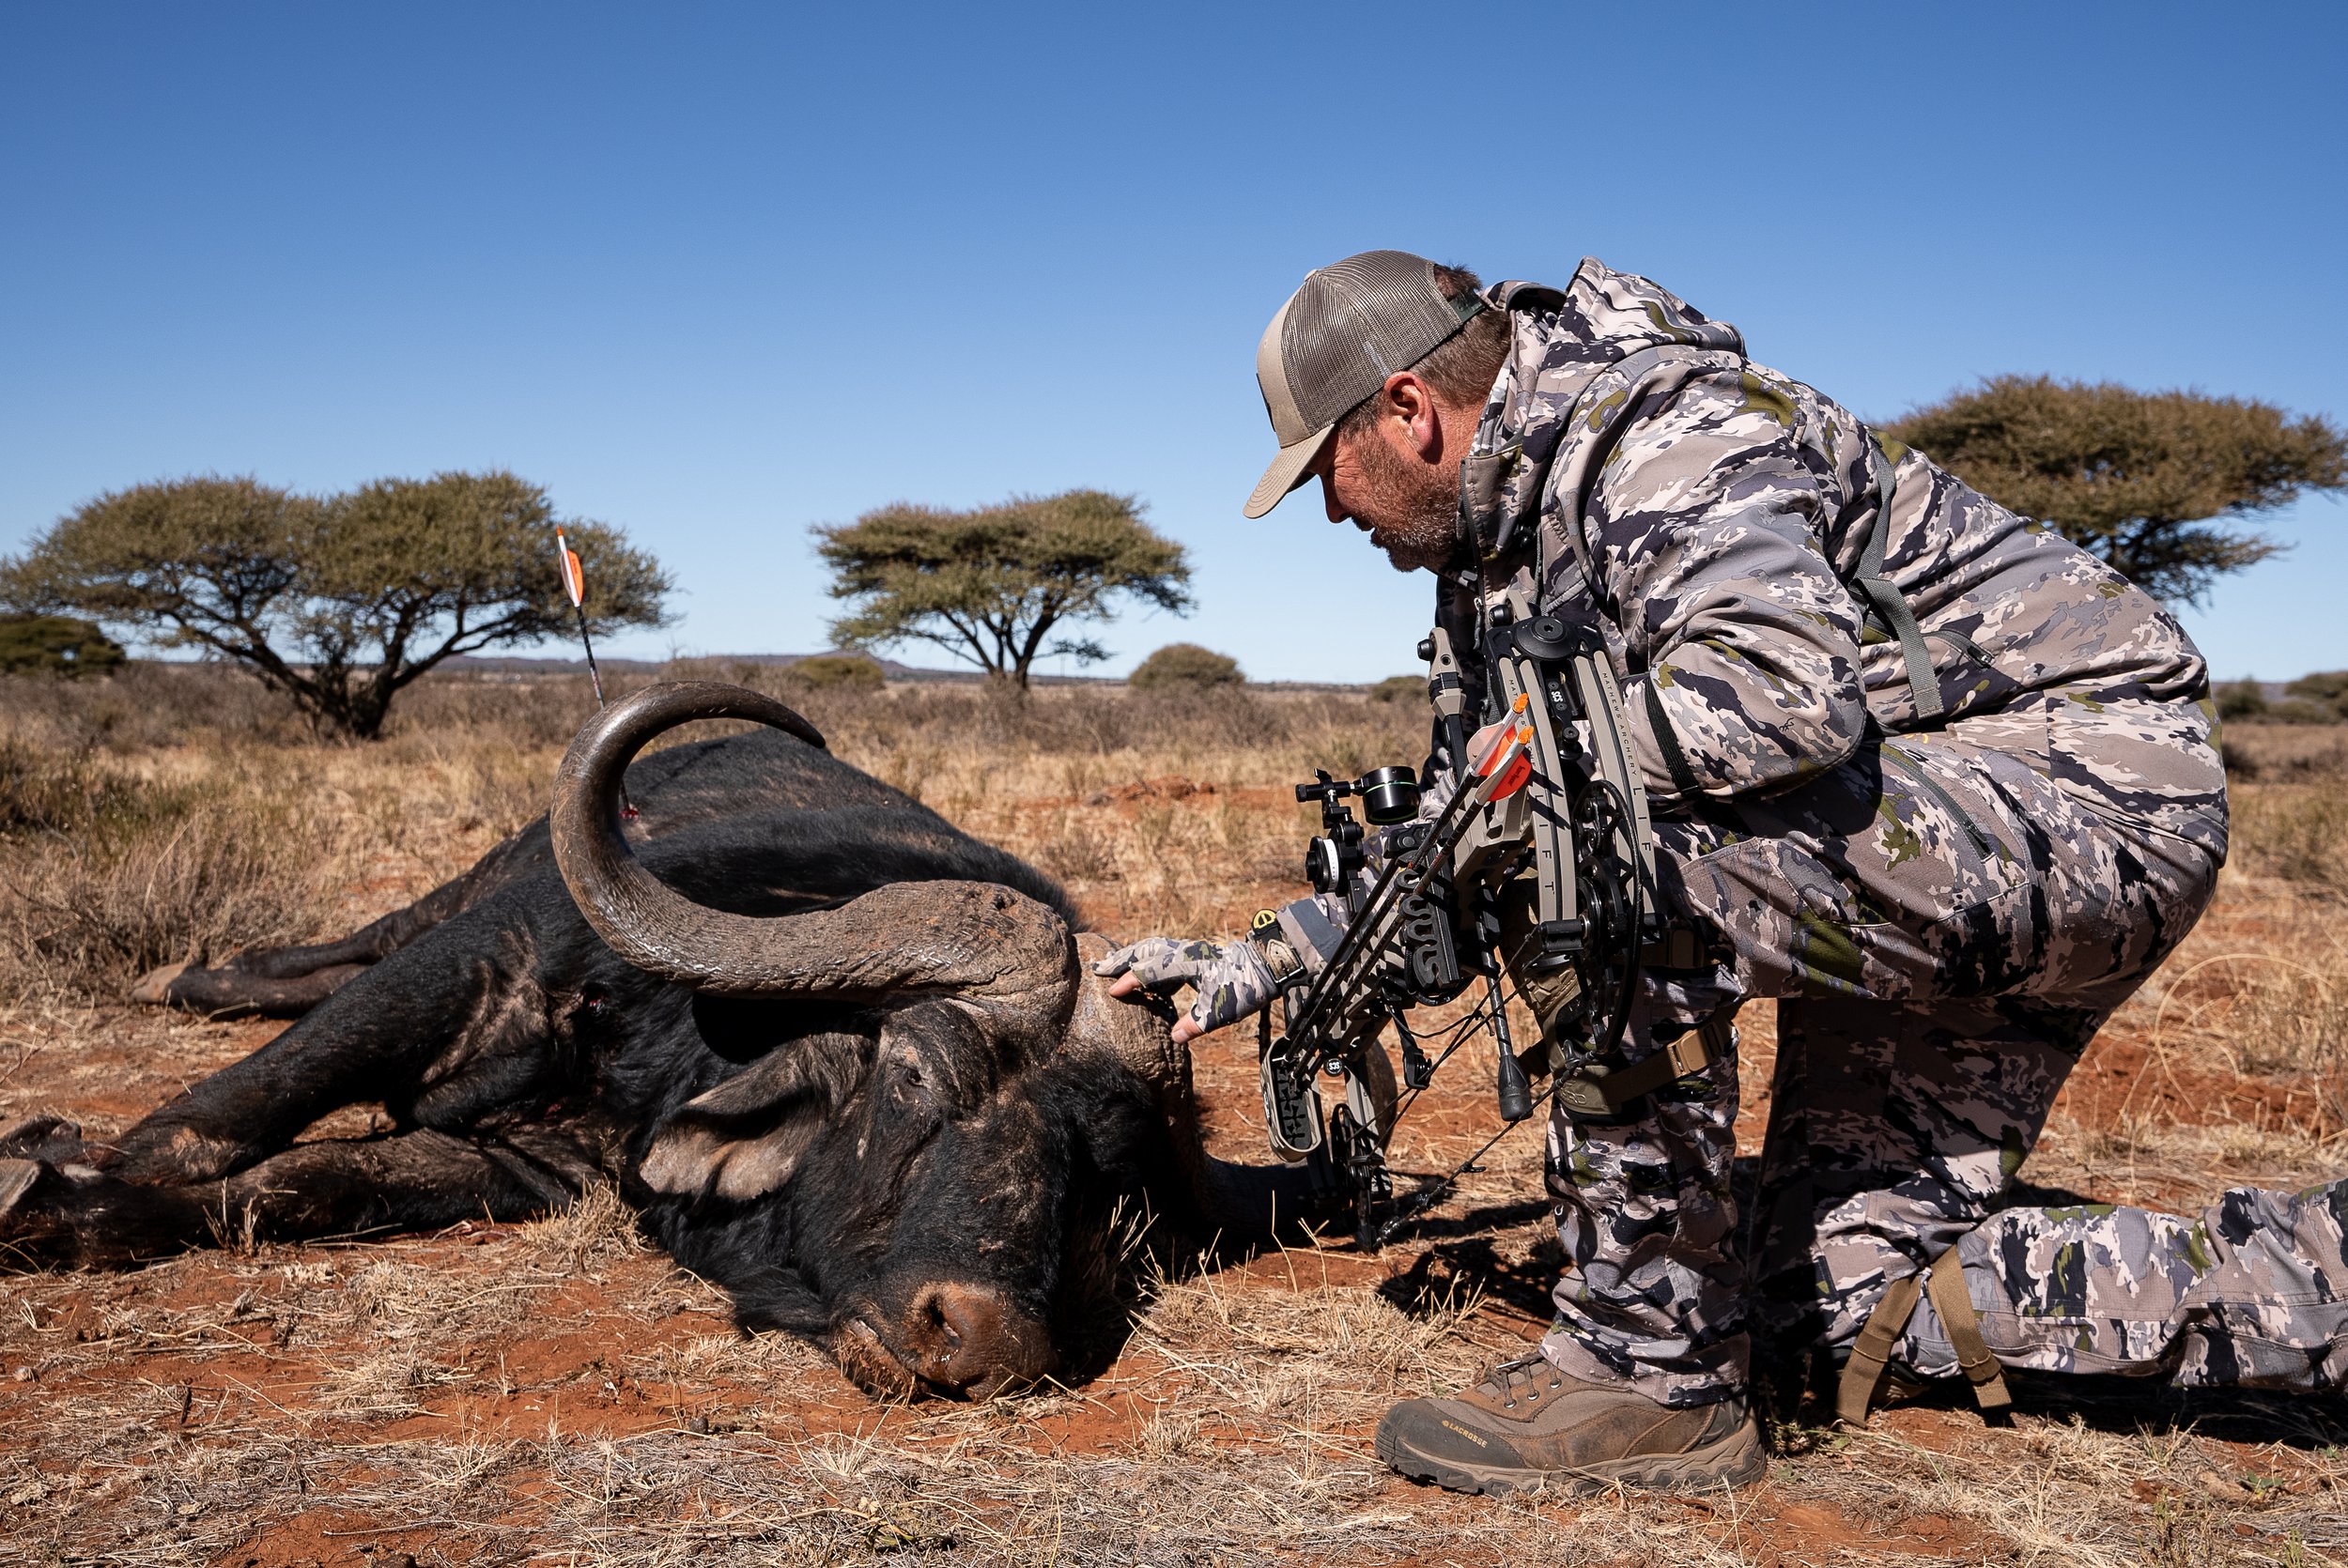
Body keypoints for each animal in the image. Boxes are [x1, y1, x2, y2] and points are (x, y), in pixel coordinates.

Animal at [0, 683, 1325, 1399]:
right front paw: (47, 1171)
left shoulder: (534, 1165)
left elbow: (308, 1183)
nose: (983, 1340)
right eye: (912, 1070)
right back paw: (192, 975)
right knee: (315, 967)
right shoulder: (484, 955)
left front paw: (80, 1202)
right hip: (434, 905)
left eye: (1107, 1173)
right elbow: (220, 1118)